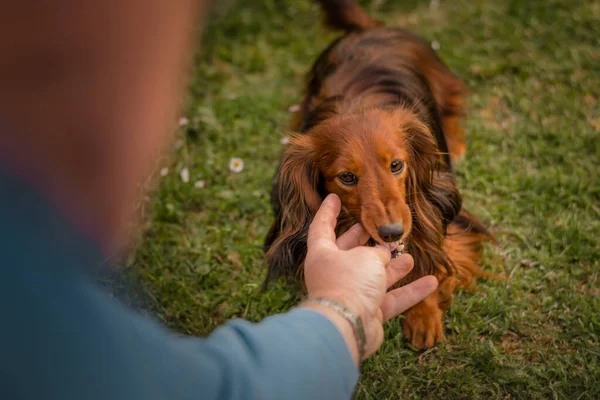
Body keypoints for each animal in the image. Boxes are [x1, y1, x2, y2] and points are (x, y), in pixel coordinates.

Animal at [264, 0, 490, 348]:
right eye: (346, 177)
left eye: (396, 165)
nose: (392, 232)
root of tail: (369, 29)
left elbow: (429, 254)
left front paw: (424, 313)